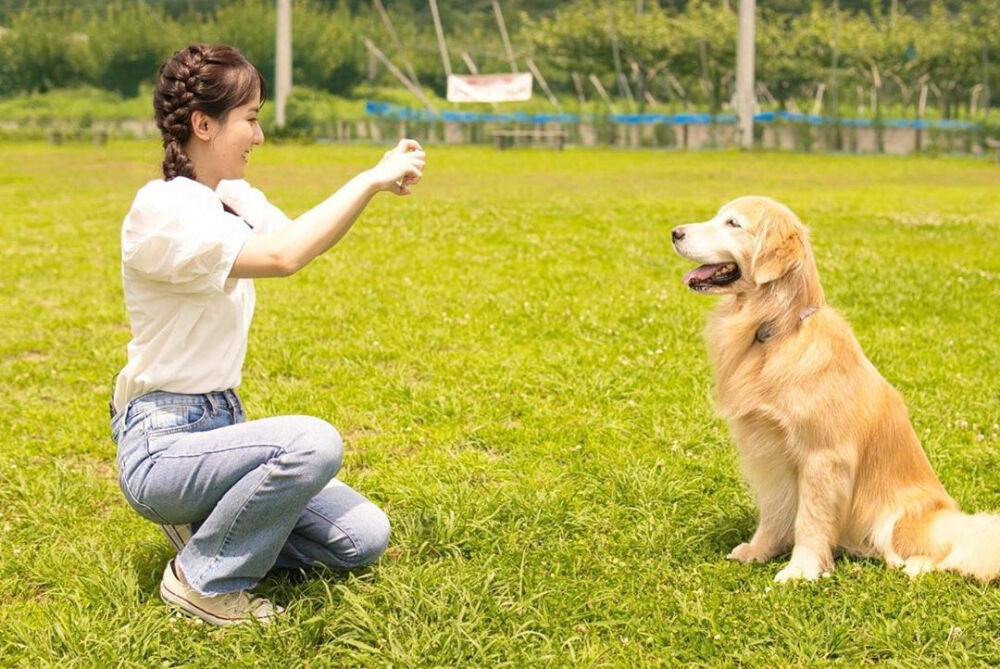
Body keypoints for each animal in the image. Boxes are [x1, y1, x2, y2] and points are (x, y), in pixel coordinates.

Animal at [676, 196, 996, 580]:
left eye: (733, 223)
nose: (675, 232)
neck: (777, 330)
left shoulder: (823, 457)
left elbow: (811, 520)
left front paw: (801, 570)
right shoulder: (770, 455)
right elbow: (774, 512)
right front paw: (759, 551)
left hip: (902, 517)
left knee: (947, 553)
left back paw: (915, 565)